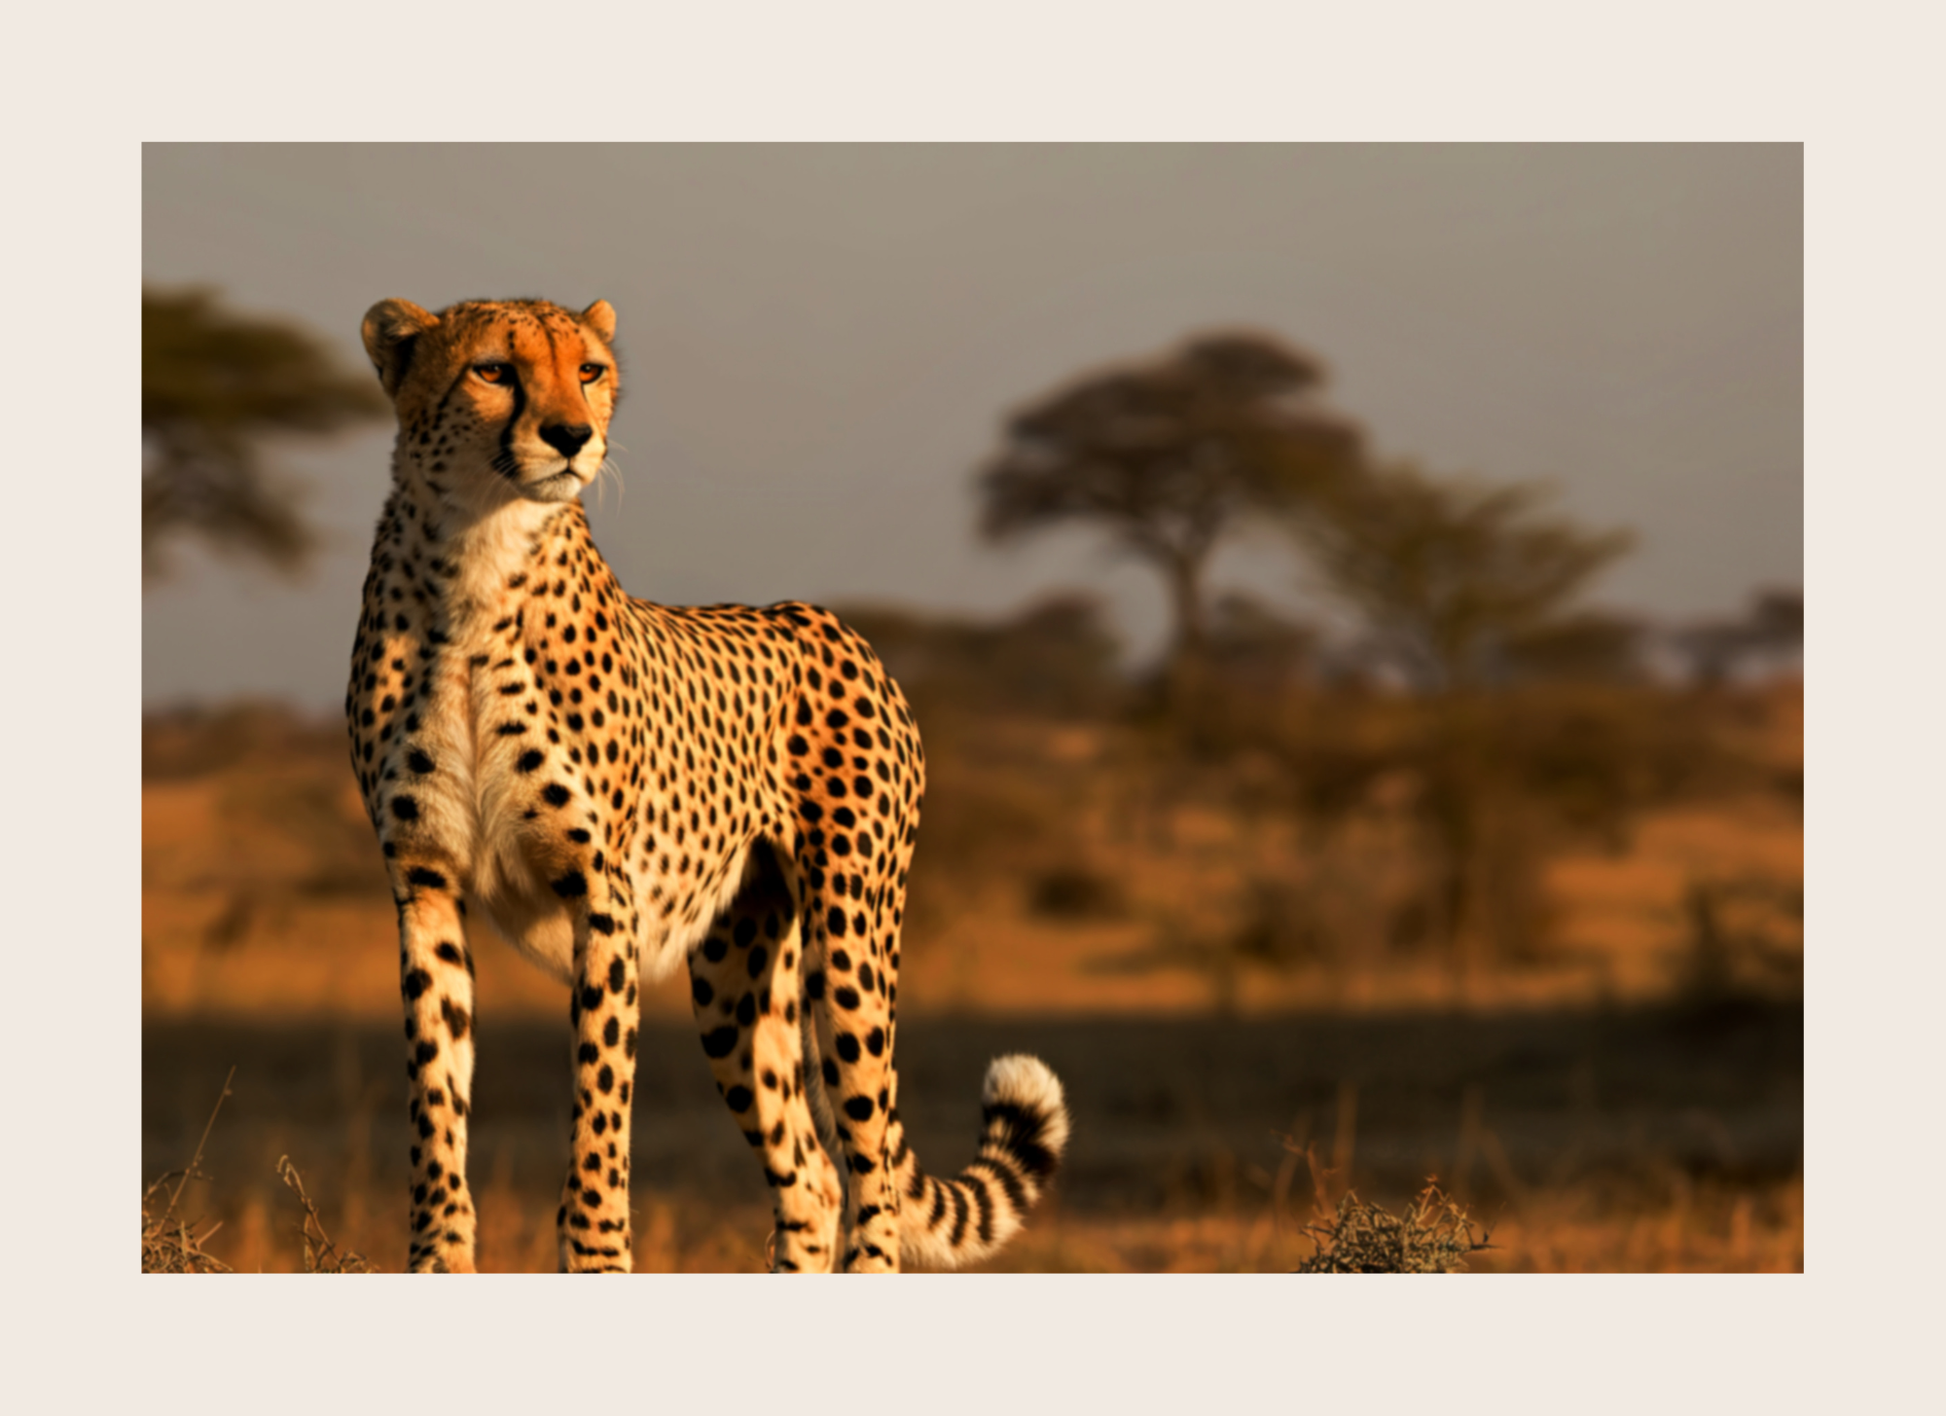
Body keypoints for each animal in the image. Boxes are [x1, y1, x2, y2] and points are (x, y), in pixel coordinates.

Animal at [346, 295, 1068, 1273]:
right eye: (494, 370)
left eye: (590, 370)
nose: (572, 435)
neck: (477, 556)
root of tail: (828, 621)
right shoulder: (423, 887)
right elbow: (437, 1097)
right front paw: (437, 1254)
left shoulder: (603, 896)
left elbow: (600, 1109)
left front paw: (598, 1255)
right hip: (736, 978)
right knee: (812, 1175)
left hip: (850, 940)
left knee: (870, 1168)